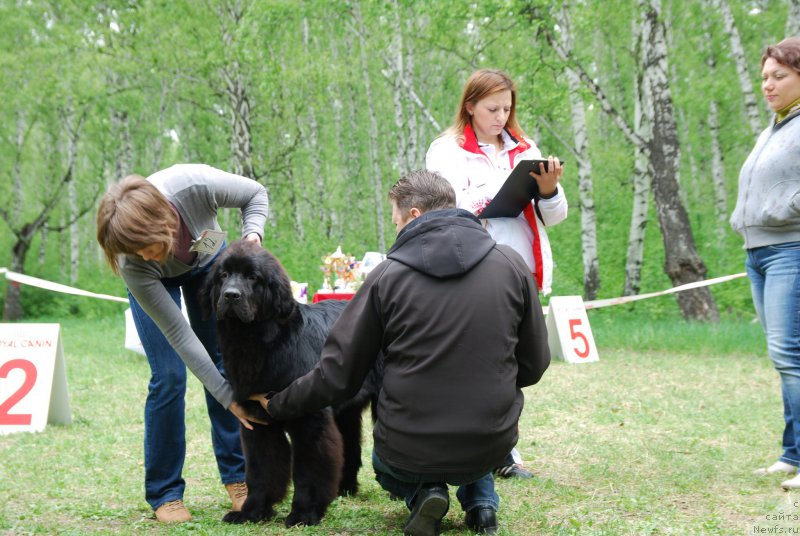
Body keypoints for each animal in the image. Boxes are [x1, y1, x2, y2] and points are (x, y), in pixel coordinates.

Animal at [203, 242, 384, 528]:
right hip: (345, 409)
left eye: (253, 277)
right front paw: (251, 511)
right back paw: (344, 488)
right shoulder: (258, 421)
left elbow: (308, 469)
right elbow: (261, 469)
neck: (259, 341)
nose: (231, 295)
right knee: (350, 446)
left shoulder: (309, 420)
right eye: (223, 275)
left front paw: (304, 513)